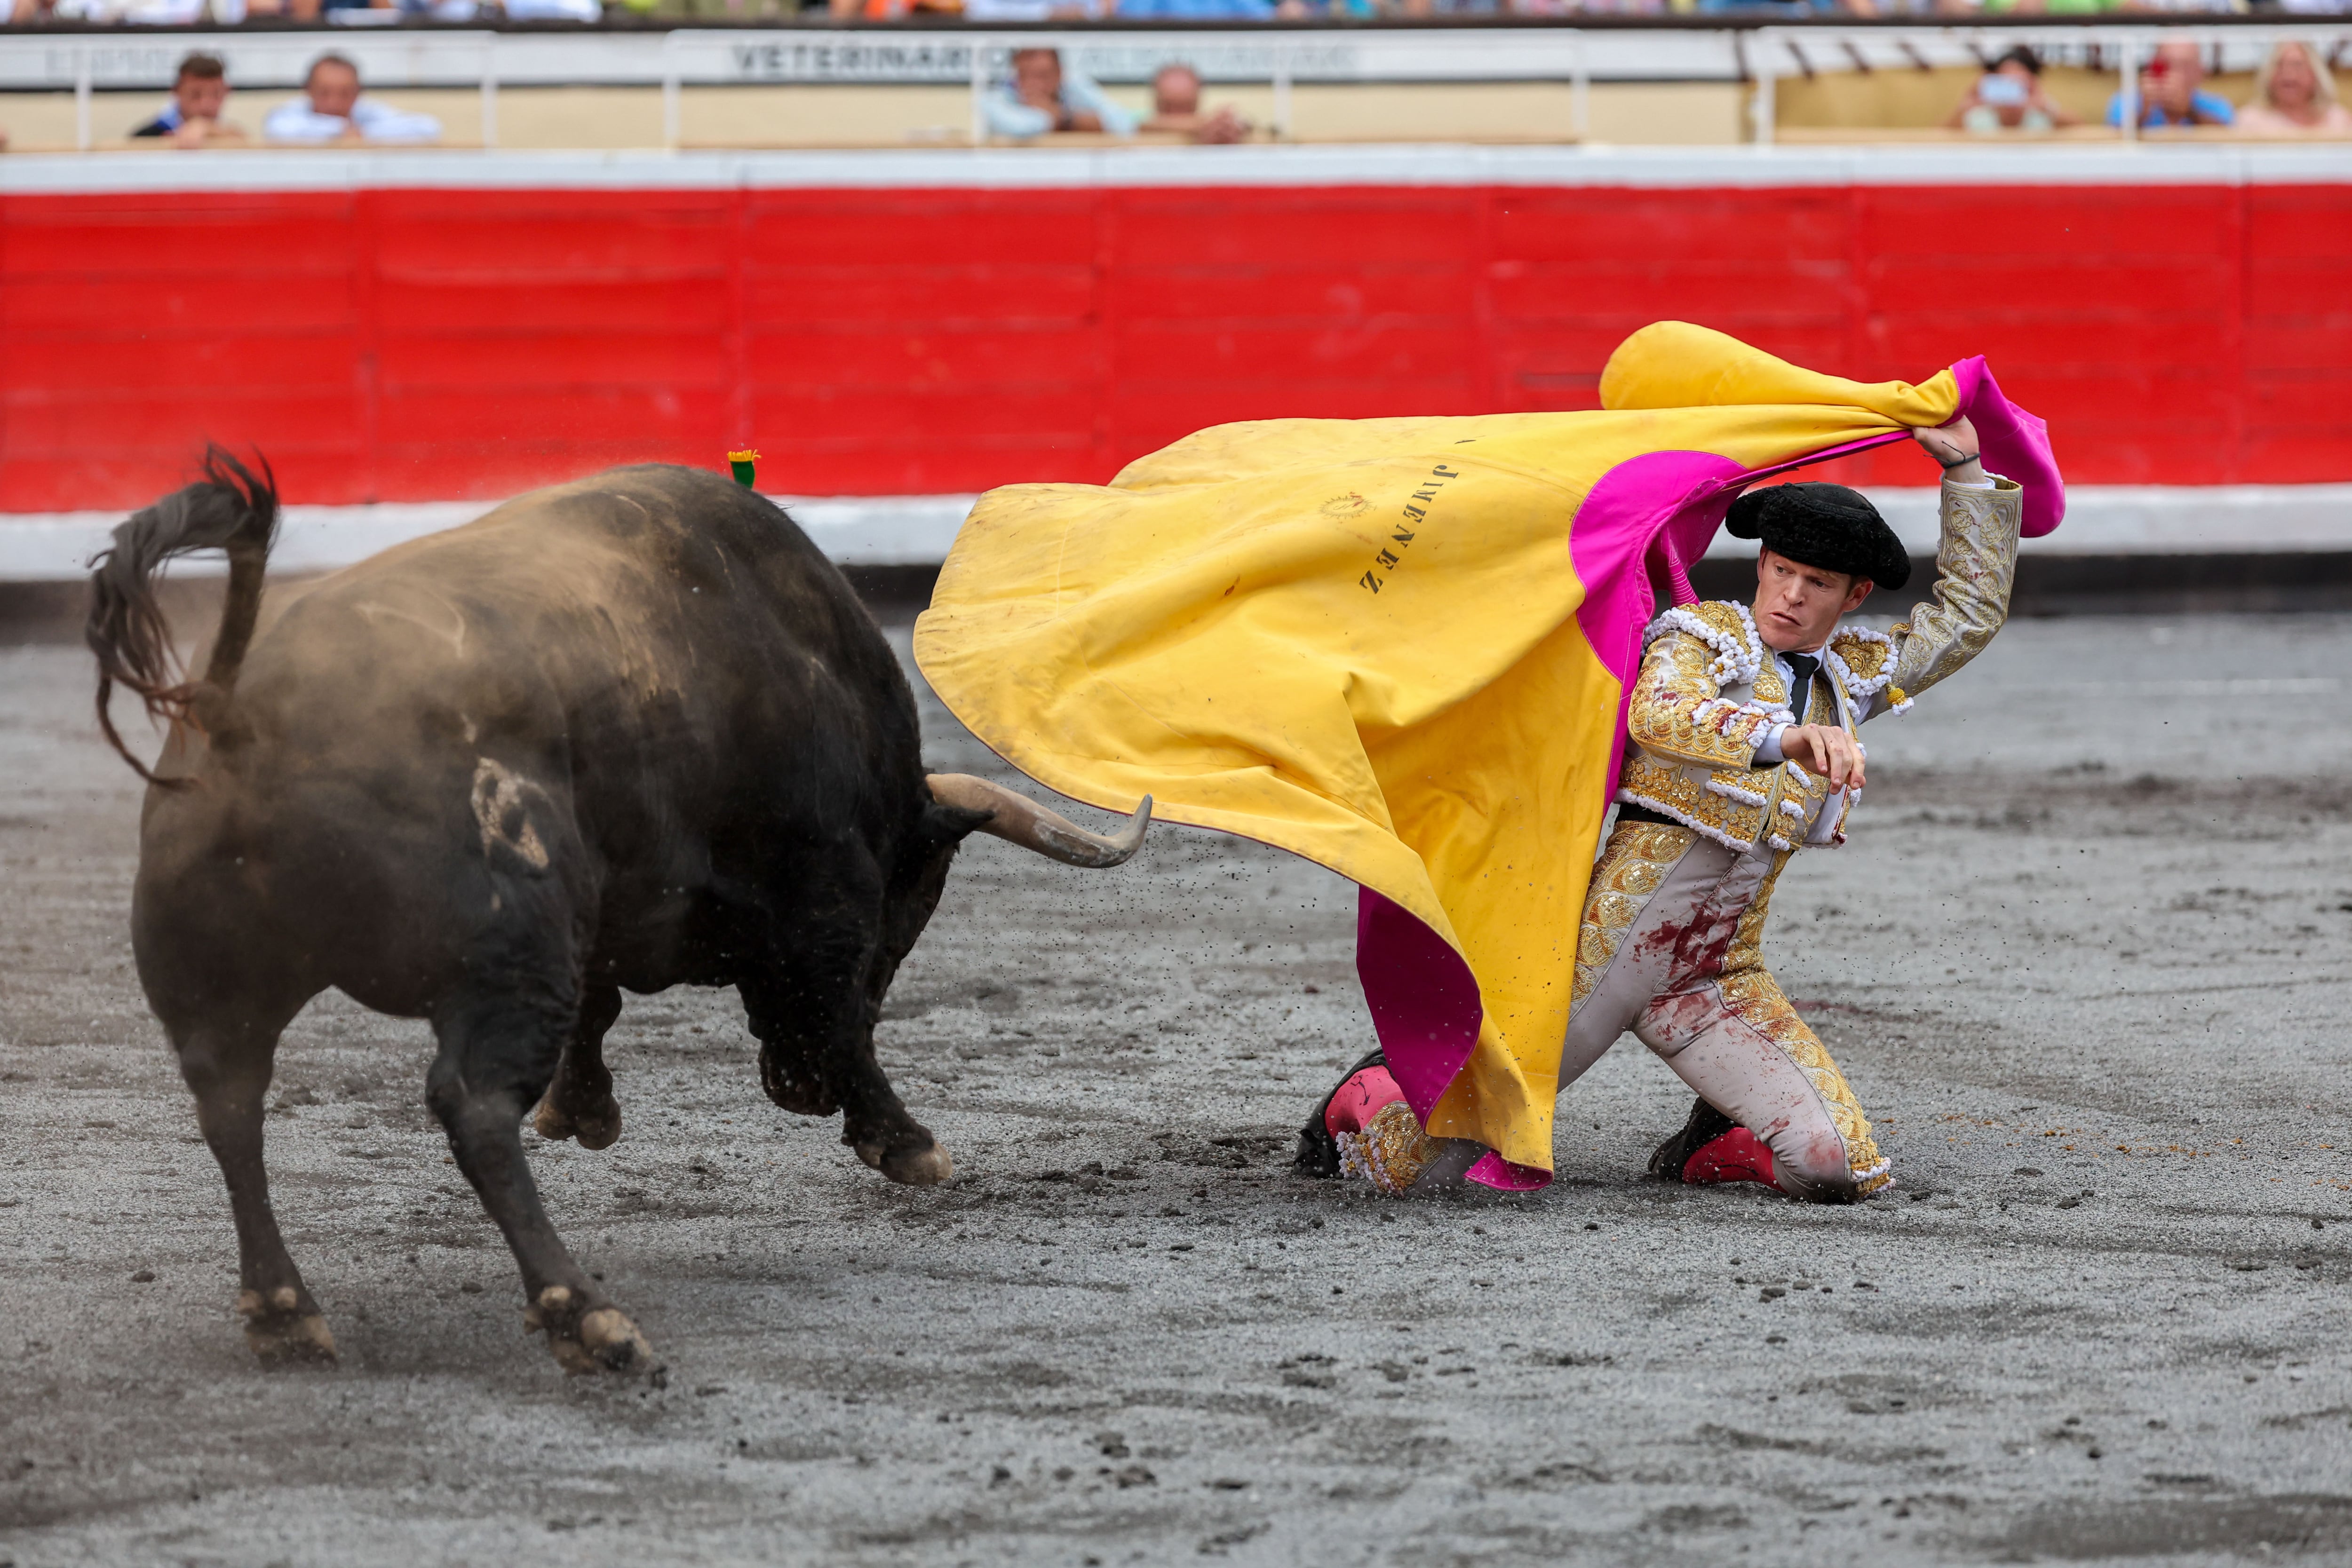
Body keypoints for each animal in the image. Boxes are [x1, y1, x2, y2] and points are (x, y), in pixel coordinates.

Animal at [87, 453, 1152, 1373]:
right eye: (916, 900)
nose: (796, 1089)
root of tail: (236, 708)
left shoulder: (609, 906)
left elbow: (604, 1002)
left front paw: (583, 1109)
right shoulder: (829, 893)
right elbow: (841, 1010)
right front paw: (907, 1142)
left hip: (219, 989)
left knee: (232, 1108)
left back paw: (286, 1312)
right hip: (503, 960)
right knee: (472, 1110)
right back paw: (585, 1314)